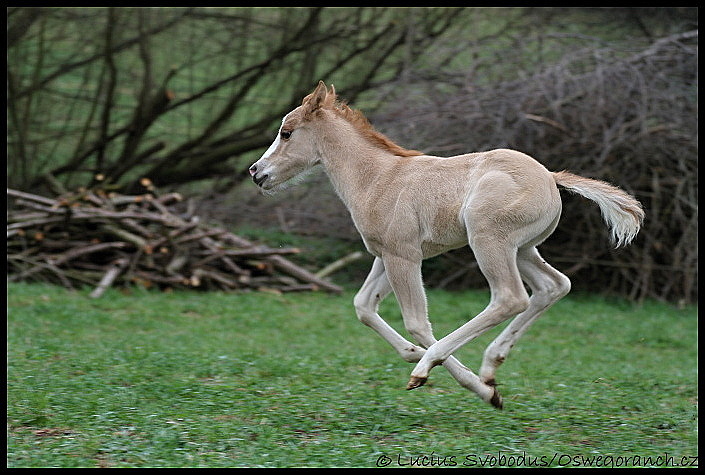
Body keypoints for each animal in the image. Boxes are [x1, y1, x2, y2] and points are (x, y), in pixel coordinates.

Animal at [248, 82, 644, 410]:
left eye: (286, 133)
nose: (256, 172)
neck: (377, 177)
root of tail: (550, 176)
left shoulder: (403, 256)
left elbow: (417, 322)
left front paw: (443, 376)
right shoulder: (385, 255)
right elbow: (363, 305)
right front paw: (412, 354)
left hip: (488, 239)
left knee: (510, 297)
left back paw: (461, 373)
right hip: (523, 249)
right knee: (554, 285)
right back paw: (491, 364)